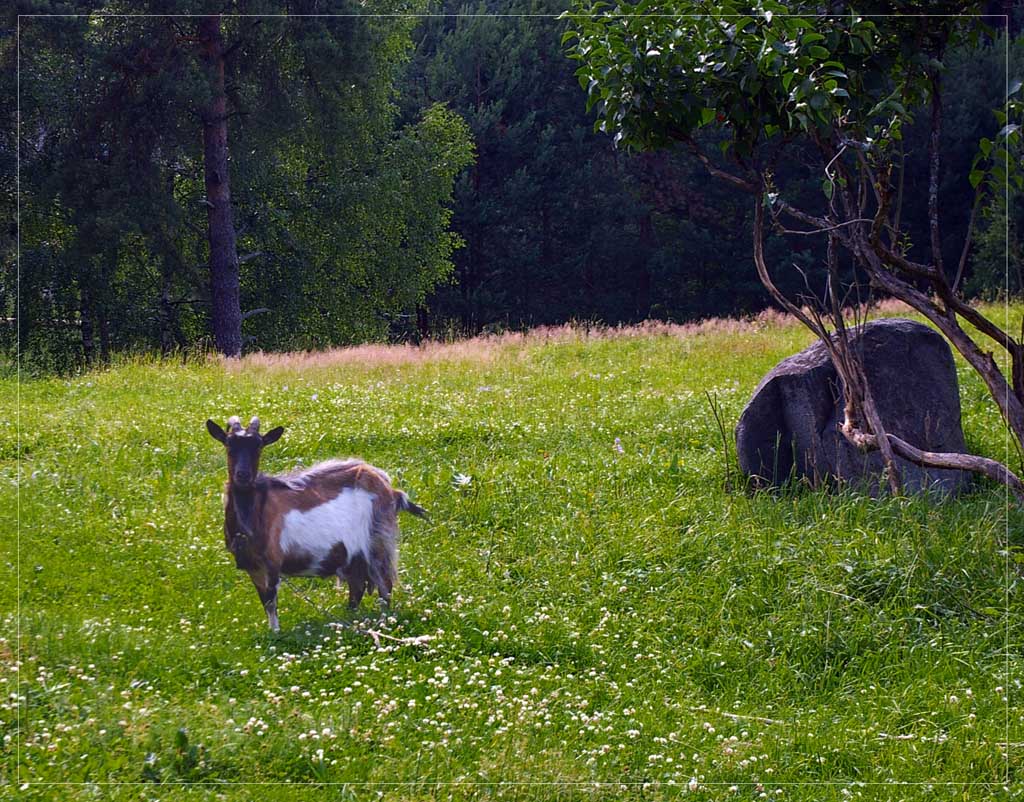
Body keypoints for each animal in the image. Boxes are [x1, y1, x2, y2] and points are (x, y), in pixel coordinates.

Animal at [203, 417, 428, 630]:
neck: (255, 512)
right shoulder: (253, 567)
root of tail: (389, 488)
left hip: (377, 540)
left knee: (384, 585)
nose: (243, 475)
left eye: (259, 446)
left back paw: (383, 620)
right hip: (353, 555)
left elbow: (271, 601)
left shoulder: (273, 562)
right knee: (357, 586)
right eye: (228, 444)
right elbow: (264, 601)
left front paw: (276, 634)